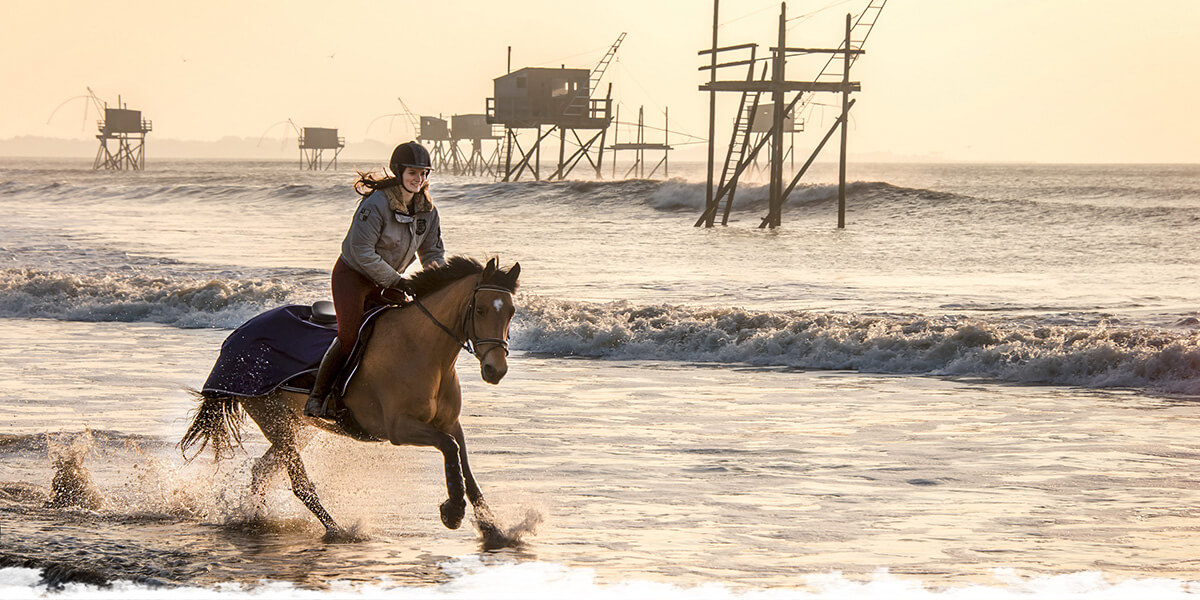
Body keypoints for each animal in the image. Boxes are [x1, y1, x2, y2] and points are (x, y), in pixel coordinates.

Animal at [180, 255, 518, 542]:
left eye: (511, 311)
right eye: (480, 310)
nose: (495, 369)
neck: (424, 350)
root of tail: (238, 334)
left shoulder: (450, 423)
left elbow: (464, 467)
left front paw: (493, 527)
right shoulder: (399, 428)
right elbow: (449, 449)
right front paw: (453, 511)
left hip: (297, 425)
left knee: (262, 471)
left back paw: (256, 517)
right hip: (272, 418)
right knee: (300, 485)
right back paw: (337, 529)